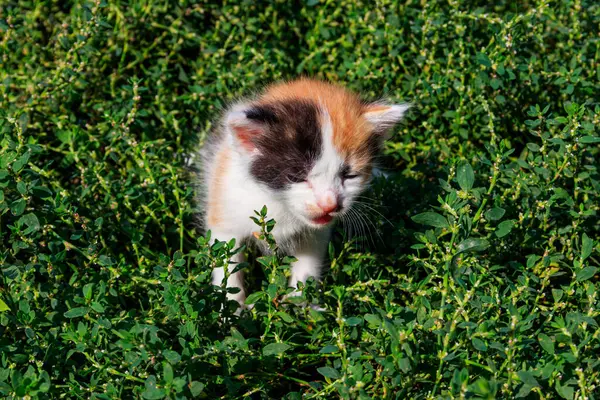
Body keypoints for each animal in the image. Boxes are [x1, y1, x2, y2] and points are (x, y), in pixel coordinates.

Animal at [199, 77, 410, 310]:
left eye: (349, 175)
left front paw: (301, 305)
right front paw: (231, 310)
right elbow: (227, 264)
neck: (278, 204)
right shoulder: (225, 208)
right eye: (297, 176)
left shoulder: (315, 234)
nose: (329, 205)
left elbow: (308, 265)